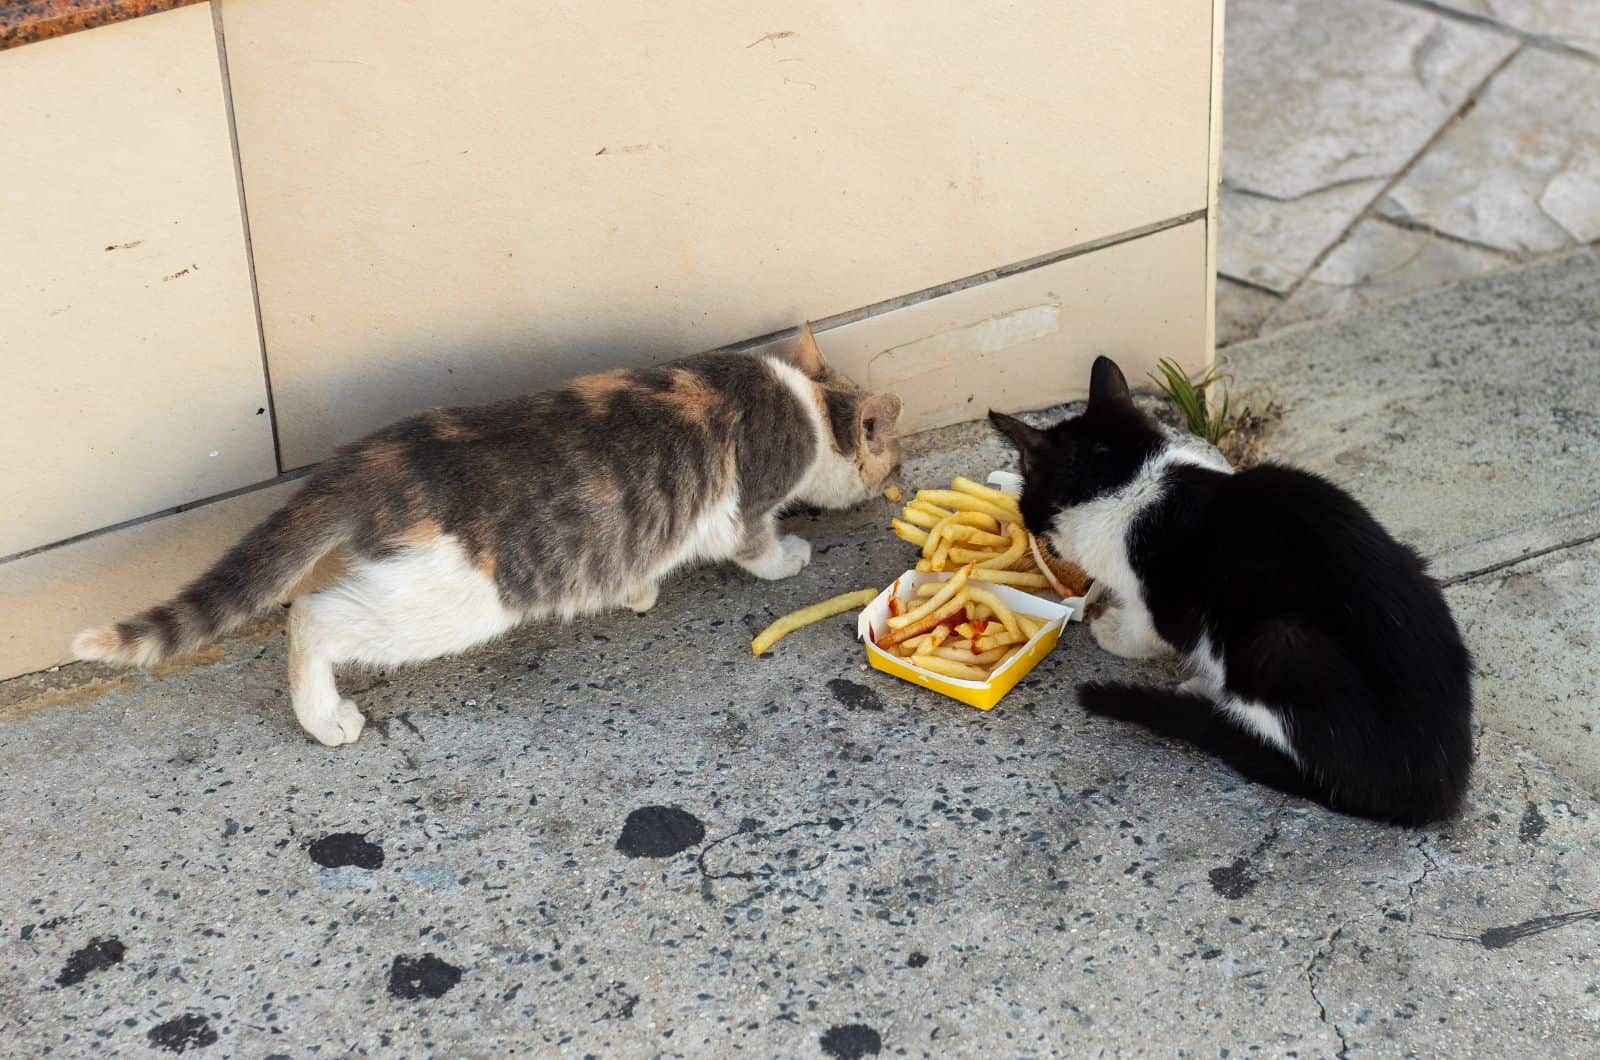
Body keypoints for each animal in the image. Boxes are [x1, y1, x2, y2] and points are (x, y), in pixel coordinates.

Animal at [78, 328, 902, 752]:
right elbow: (756, 547)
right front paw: (790, 557)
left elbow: (633, 563)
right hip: (449, 599)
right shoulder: (747, 504)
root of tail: (369, 459)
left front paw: (636, 591)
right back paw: (324, 716)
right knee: (311, 616)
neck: (806, 401)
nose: (897, 470)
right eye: (891, 454)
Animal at [985, 361, 1472, 826]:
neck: (1132, 485)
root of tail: (1434, 788)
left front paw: (1113, 632)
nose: (1026, 519)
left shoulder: (1170, 602)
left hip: (1280, 641)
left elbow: (1149, 630)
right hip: (1411, 563)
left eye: (1028, 499)